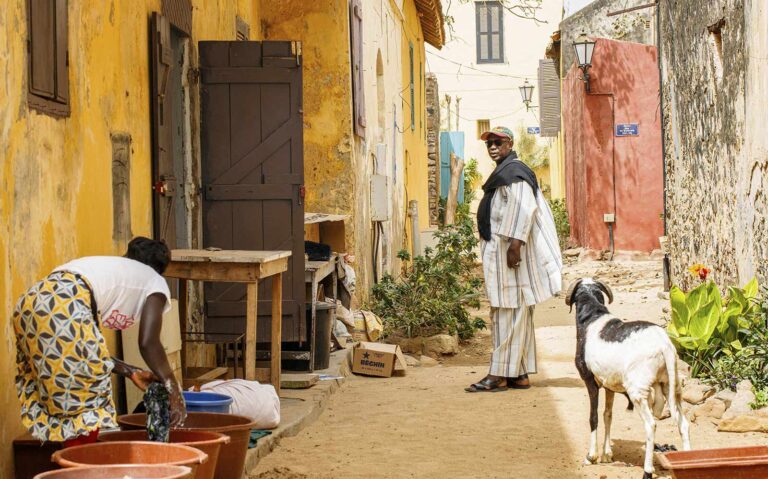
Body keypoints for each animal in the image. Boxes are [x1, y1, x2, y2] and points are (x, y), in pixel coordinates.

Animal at [564, 280, 688, 478]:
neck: (593, 316)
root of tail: (665, 345)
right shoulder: (609, 385)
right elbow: (607, 415)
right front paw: (607, 454)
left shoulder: (590, 381)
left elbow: (593, 417)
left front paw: (591, 456)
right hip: (671, 386)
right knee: (683, 425)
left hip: (637, 392)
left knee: (651, 425)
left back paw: (647, 471)